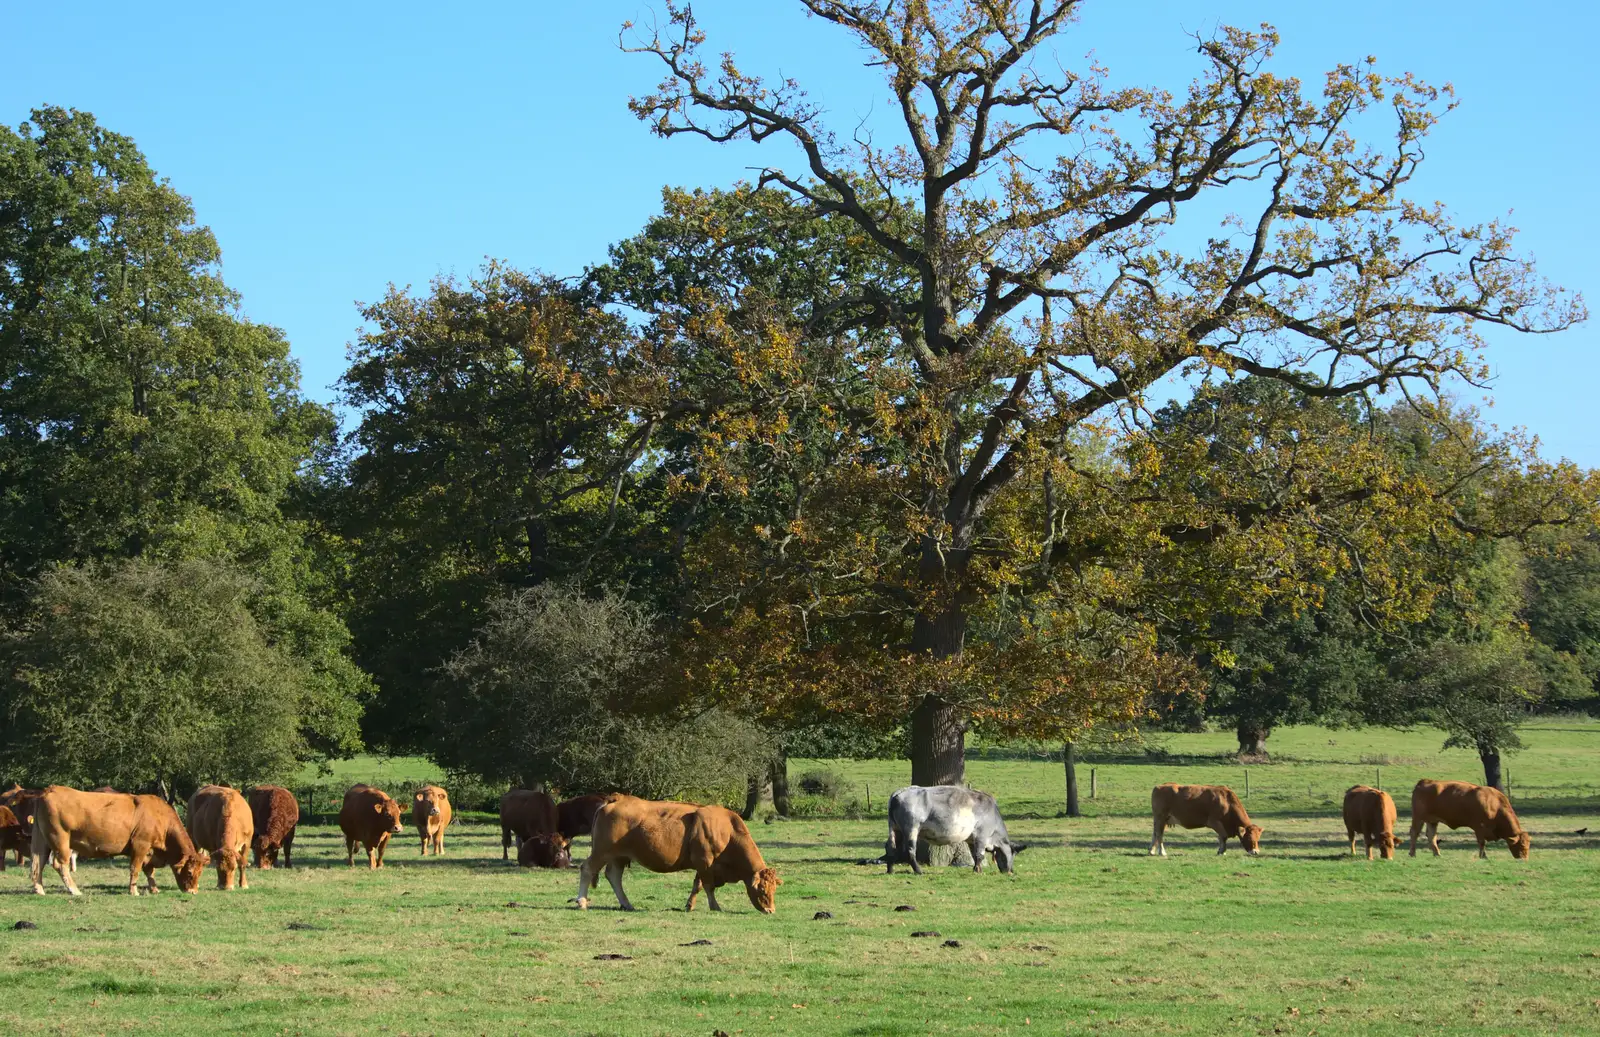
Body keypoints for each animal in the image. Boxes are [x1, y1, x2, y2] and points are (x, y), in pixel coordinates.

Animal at [579, 793, 784, 915]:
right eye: (762, 890)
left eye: (774, 889)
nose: (771, 910)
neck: (727, 831)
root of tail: (617, 798)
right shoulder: (705, 862)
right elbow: (708, 886)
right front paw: (715, 906)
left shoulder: (703, 865)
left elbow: (697, 886)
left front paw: (690, 905)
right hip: (602, 851)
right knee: (587, 868)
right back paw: (581, 901)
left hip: (619, 856)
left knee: (614, 876)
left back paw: (627, 904)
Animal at [883, 787, 1017, 876]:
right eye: (1012, 854)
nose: (1011, 871)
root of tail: (898, 793)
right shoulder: (981, 835)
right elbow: (980, 854)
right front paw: (978, 871)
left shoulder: (971, 839)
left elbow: (974, 855)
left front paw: (976, 869)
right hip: (911, 828)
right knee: (910, 850)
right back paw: (919, 871)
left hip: (894, 827)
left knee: (890, 847)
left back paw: (890, 870)